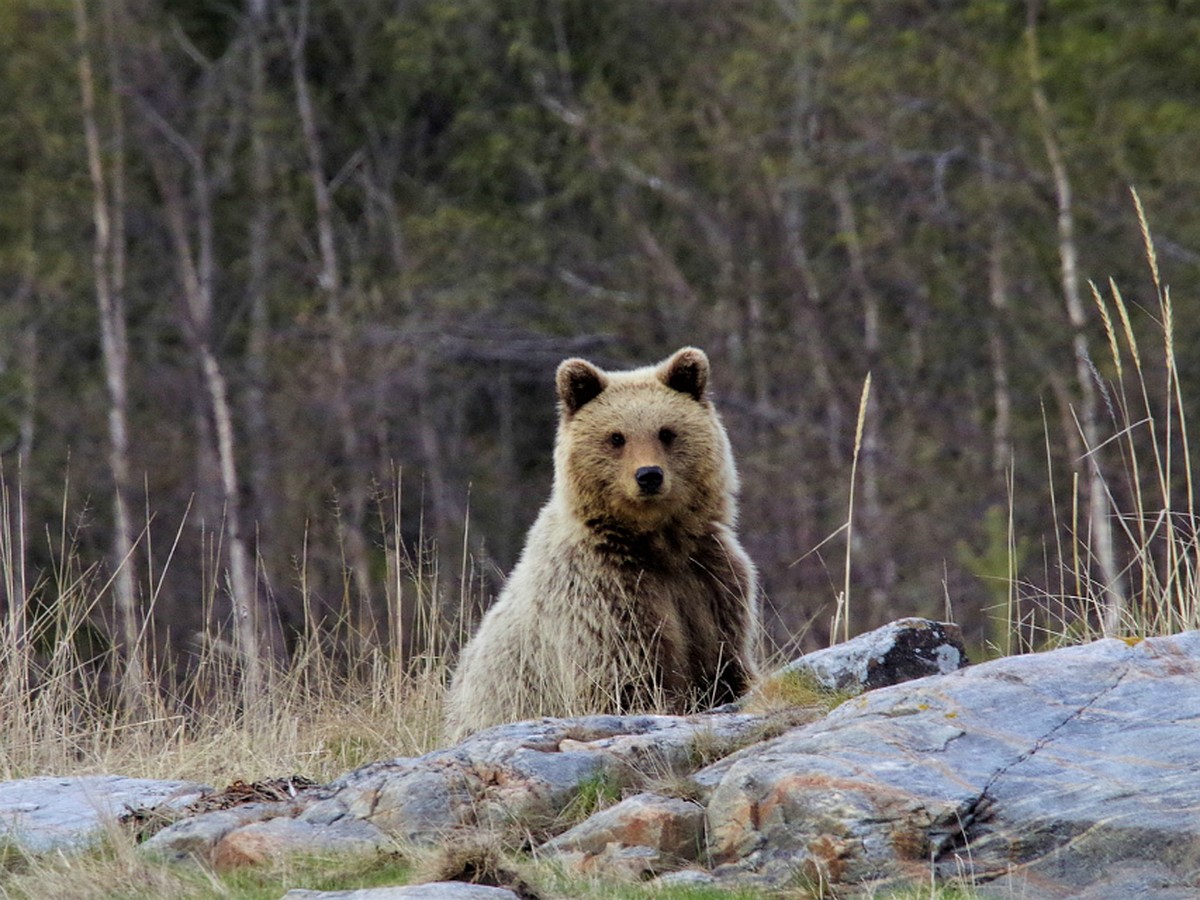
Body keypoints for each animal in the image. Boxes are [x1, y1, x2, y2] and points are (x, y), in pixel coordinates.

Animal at [441, 345, 758, 739]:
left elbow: (726, 662)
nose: (649, 476)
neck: (656, 543)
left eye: (666, 432)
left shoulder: (710, 581)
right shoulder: (603, 595)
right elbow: (625, 681)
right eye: (616, 437)